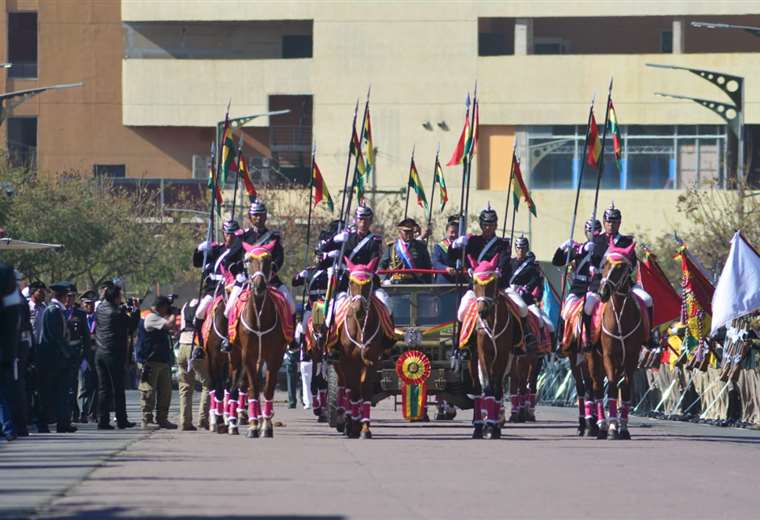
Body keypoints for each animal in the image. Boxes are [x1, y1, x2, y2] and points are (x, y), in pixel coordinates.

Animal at [238, 244, 290, 438]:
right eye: (248, 259)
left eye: (268, 260)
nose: (259, 285)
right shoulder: (248, 356)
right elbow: (253, 388)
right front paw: (253, 426)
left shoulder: (274, 357)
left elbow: (268, 389)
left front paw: (266, 426)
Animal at [332, 256, 394, 438]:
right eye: (351, 282)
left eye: (368, 283)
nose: (358, 311)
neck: (360, 326)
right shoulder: (348, 361)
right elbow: (353, 391)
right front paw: (352, 425)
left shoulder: (372, 361)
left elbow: (364, 390)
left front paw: (364, 427)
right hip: (339, 365)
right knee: (344, 388)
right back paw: (345, 419)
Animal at [464, 254, 524, 440]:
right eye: (475, 282)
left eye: (493, 282)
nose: (482, 311)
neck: (491, 322)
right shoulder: (484, 353)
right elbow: (488, 388)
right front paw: (487, 425)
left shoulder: (503, 355)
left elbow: (496, 389)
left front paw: (494, 426)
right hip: (472, 358)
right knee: (478, 389)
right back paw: (478, 426)